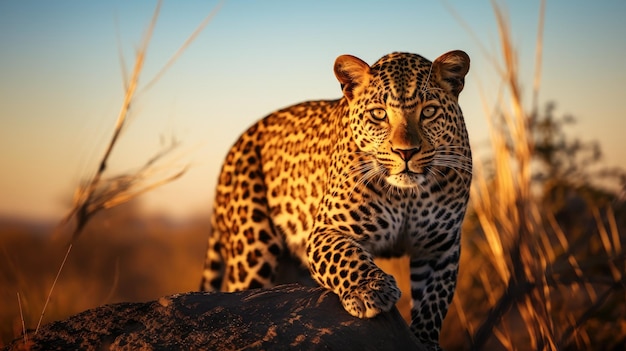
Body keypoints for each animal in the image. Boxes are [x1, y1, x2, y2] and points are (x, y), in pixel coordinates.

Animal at [200, 50, 468, 350]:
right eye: (379, 114)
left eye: (429, 111)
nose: (405, 152)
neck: (406, 196)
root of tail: (236, 144)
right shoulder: (326, 230)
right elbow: (346, 256)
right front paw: (370, 290)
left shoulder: (440, 247)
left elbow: (435, 300)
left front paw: (423, 340)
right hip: (251, 251)